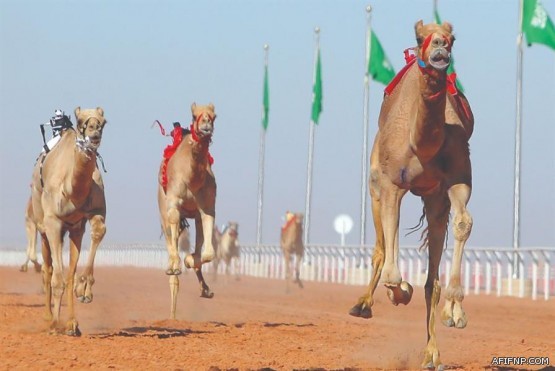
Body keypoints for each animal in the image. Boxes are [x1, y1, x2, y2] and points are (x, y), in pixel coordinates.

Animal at [28, 107, 107, 338]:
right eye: (81, 121)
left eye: (104, 122)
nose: (94, 132)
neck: (72, 190)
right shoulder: (53, 222)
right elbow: (57, 277)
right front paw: (56, 324)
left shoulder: (85, 219)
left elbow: (99, 230)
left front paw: (84, 290)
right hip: (42, 224)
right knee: (48, 270)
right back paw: (49, 318)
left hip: (71, 229)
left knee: (64, 272)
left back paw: (68, 322)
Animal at [157, 101, 218, 320]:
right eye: (194, 115)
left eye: (214, 116)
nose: (206, 125)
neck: (193, 179)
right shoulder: (174, 204)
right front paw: (178, 264)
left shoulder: (207, 207)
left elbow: (207, 254)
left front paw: (190, 260)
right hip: (162, 210)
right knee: (170, 238)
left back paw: (205, 289)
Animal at [350, 20, 476, 370]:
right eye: (420, 37)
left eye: (452, 38)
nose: (440, 49)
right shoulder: (391, 184)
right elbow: (392, 267)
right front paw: (399, 290)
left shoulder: (457, 181)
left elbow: (464, 223)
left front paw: (455, 310)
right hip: (375, 186)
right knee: (381, 247)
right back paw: (363, 304)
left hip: (434, 200)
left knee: (431, 279)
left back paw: (432, 353)